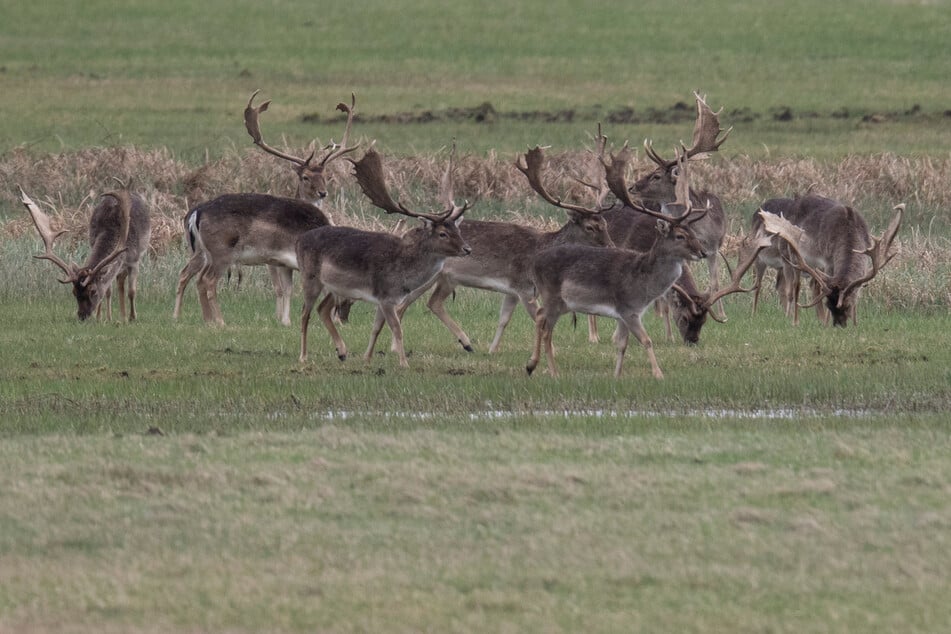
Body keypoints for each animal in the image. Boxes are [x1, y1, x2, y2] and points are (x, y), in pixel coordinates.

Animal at [20, 183, 151, 320]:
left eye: (93, 291)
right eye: (73, 292)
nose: (82, 315)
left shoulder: (134, 259)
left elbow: (132, 292)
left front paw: (132, 318)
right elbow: (108, 291)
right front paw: (103, 318)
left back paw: (125, 317)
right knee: (119, 279)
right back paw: (120, 316)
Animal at [171, 91, 356, 324]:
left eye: (326, 177)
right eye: (305, 177)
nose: (344, 318)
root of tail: (197, 212)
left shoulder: (283, 263)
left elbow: (288, 289)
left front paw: (285, 322)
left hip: (202, 251)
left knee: (190, 275)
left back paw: (197, 319)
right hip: (221, 251)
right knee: (207, 280)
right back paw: (219, 322)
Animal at [300, 146, 470, 368]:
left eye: (457, 229)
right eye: (443, 233)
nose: (467, 249)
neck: (403, 274)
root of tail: (300, 239)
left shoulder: (383, 299)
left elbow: (376, 328)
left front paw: (367, 358)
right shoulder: (387, 296)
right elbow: (397, 329)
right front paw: (404, 363)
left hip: (335, 287)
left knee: (322, 309)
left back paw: (342, 352)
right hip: (310, 277)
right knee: (305, 314)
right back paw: (303, 356)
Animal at [756, 196, 904, 326]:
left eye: (848, 305)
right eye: (829, 305)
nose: (839, 324)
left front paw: (855, 324)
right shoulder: (827, 261)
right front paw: (826, 323)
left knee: (812, 286)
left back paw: (819, 319)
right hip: (792, 255)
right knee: (795, 287)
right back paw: (795, 321)